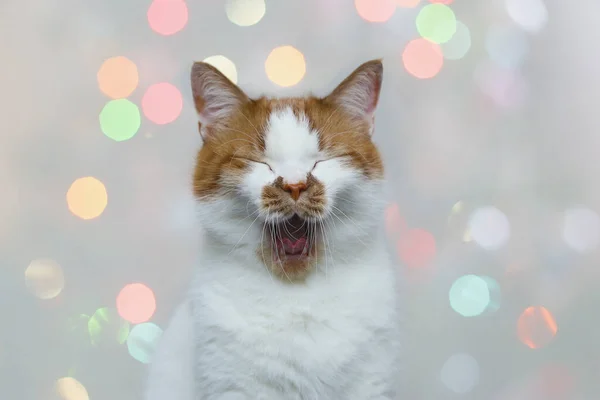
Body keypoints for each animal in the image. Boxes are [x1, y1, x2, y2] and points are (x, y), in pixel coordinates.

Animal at [143, 59, 400, 400]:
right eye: (259, 162)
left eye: (322, 160)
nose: (295, 185)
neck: (300, 298)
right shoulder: (233, 385)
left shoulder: (371, 382)